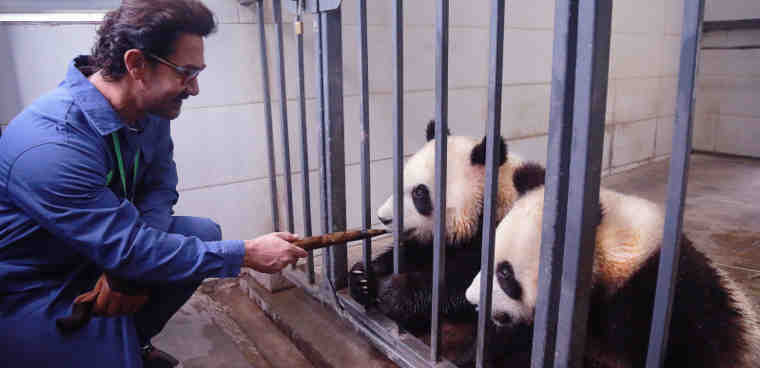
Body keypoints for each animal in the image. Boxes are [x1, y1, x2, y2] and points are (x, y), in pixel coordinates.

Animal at [350, 118, 548, 336]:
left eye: (419, 193)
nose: (383, 218)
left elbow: (466, 284)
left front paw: (395, 293)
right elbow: (414, 252)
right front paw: (363, 278)